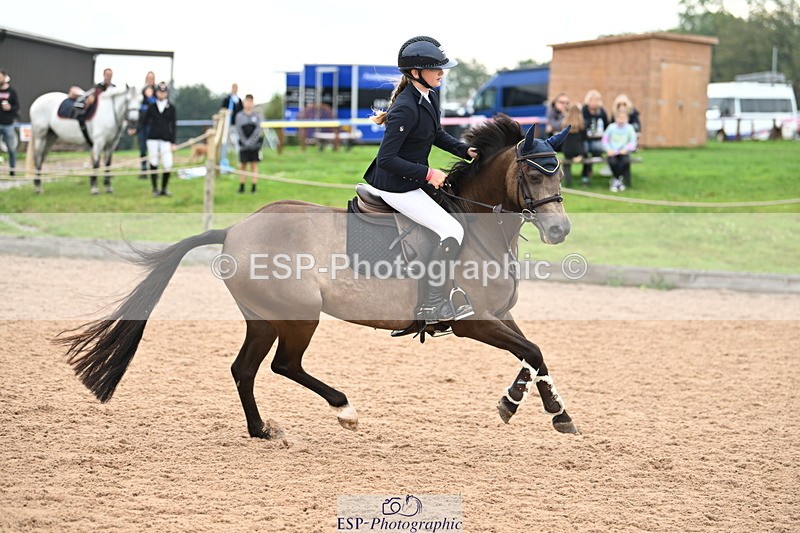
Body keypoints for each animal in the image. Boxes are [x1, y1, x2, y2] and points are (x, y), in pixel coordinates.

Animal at [57, 114, 579, 438]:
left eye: (560, 175)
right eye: (534, 176)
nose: (560, 230)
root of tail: (235, 230)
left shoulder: (498, 314)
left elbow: (532, 353)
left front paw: (522, 403)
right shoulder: (473, 320)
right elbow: (532, 350)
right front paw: (553, 413)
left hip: (264, 318)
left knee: (244, 369)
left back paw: (260, 431)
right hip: (299, 315)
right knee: (284, 366)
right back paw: (344, 410)